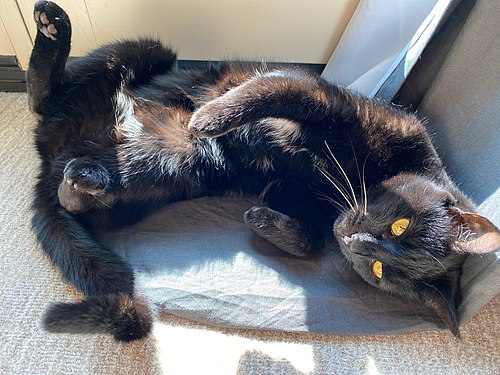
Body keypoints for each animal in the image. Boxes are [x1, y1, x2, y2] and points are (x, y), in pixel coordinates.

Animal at [28, 0, 500, 340]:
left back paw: (82, 181)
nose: (357, 242)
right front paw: (210, 118)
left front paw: (267, 224)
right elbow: (267, 92)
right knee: (45, 95)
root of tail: (51, 158)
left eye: (381, 272)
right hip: (142, 53)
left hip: (172, 169)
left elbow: (311, 240)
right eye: (401, 226)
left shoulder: (292, 194)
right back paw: (53, 25)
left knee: (81, 192)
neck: (355, 176)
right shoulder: (321, 98)